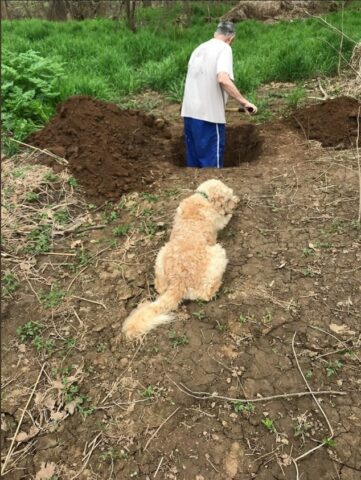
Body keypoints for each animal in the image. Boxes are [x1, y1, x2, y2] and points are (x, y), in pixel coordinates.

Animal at [121, 178, 239, 340]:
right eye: (228, 199)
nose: (236, 203)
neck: (203, 197)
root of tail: (179, 282)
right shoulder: (219, 221)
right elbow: (225, 218)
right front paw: (231, 210)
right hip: (219, 254)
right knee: (206, 294)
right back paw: (217, 286)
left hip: (161, 255)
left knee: (160, 286)